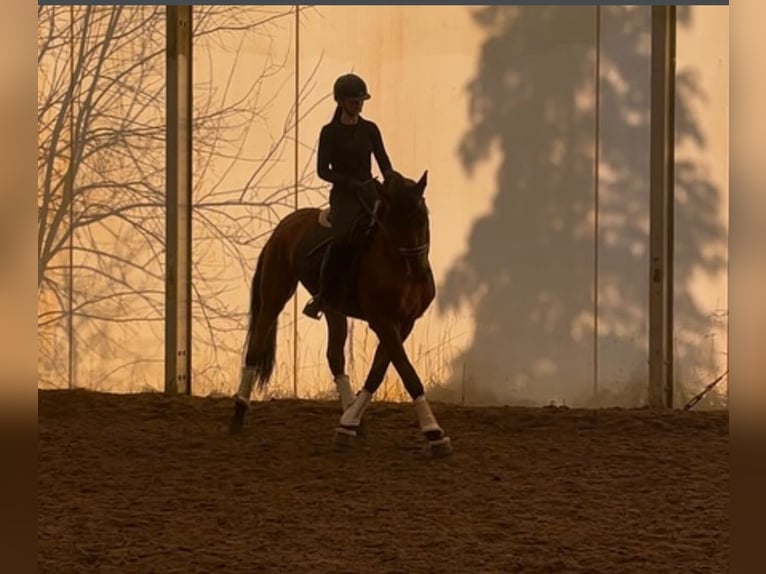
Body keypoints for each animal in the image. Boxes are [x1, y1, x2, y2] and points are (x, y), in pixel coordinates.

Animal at [231, 170, 452, 460]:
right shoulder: (383, 321)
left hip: (333, 309)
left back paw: (353, 421)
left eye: (421, 217)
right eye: (391, 222)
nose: (416, 271)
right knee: (256, 348)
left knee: (335, 357)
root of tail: (287, 224)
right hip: (275, 295)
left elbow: (378, 371)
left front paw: (348, 423)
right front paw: (434, 433)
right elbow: (407, 372)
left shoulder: (404, 323)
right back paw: (238, 414)